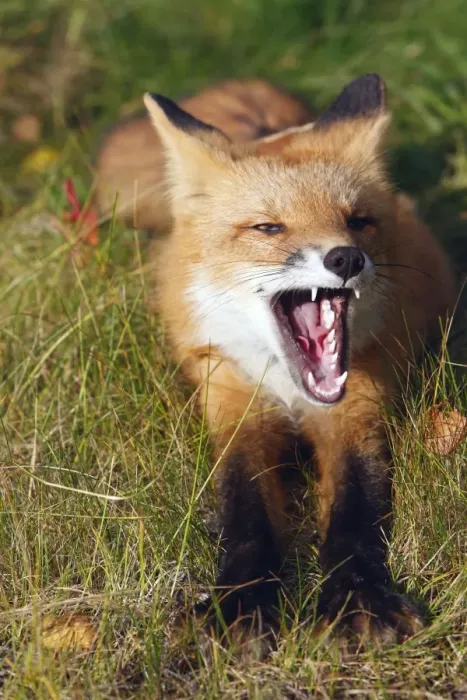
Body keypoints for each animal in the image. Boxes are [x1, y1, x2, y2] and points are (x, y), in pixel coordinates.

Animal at [95, 75, 455, 648]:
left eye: (358, 222)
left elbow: (357, 509)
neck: (291, 392)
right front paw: (240, 605)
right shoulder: (231, 400)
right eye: (268, 228)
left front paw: (360, 598)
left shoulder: (357, 404)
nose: (345, 258)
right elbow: (245, 511)